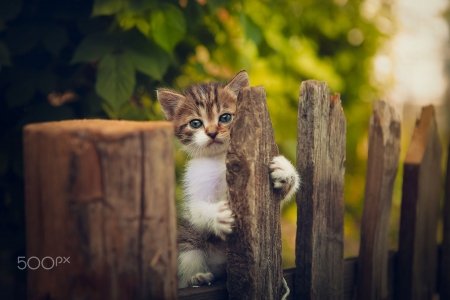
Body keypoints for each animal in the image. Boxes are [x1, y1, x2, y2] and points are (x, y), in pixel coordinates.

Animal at [156, 70, 300, 288]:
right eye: (195, 123)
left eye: (225, 117)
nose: (212, 132)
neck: (219, 158)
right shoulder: (193, 190)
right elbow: (196, 210)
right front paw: (218, 216)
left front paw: (284, 170)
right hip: (188, 241)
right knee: (190, 253)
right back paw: (197, 277)